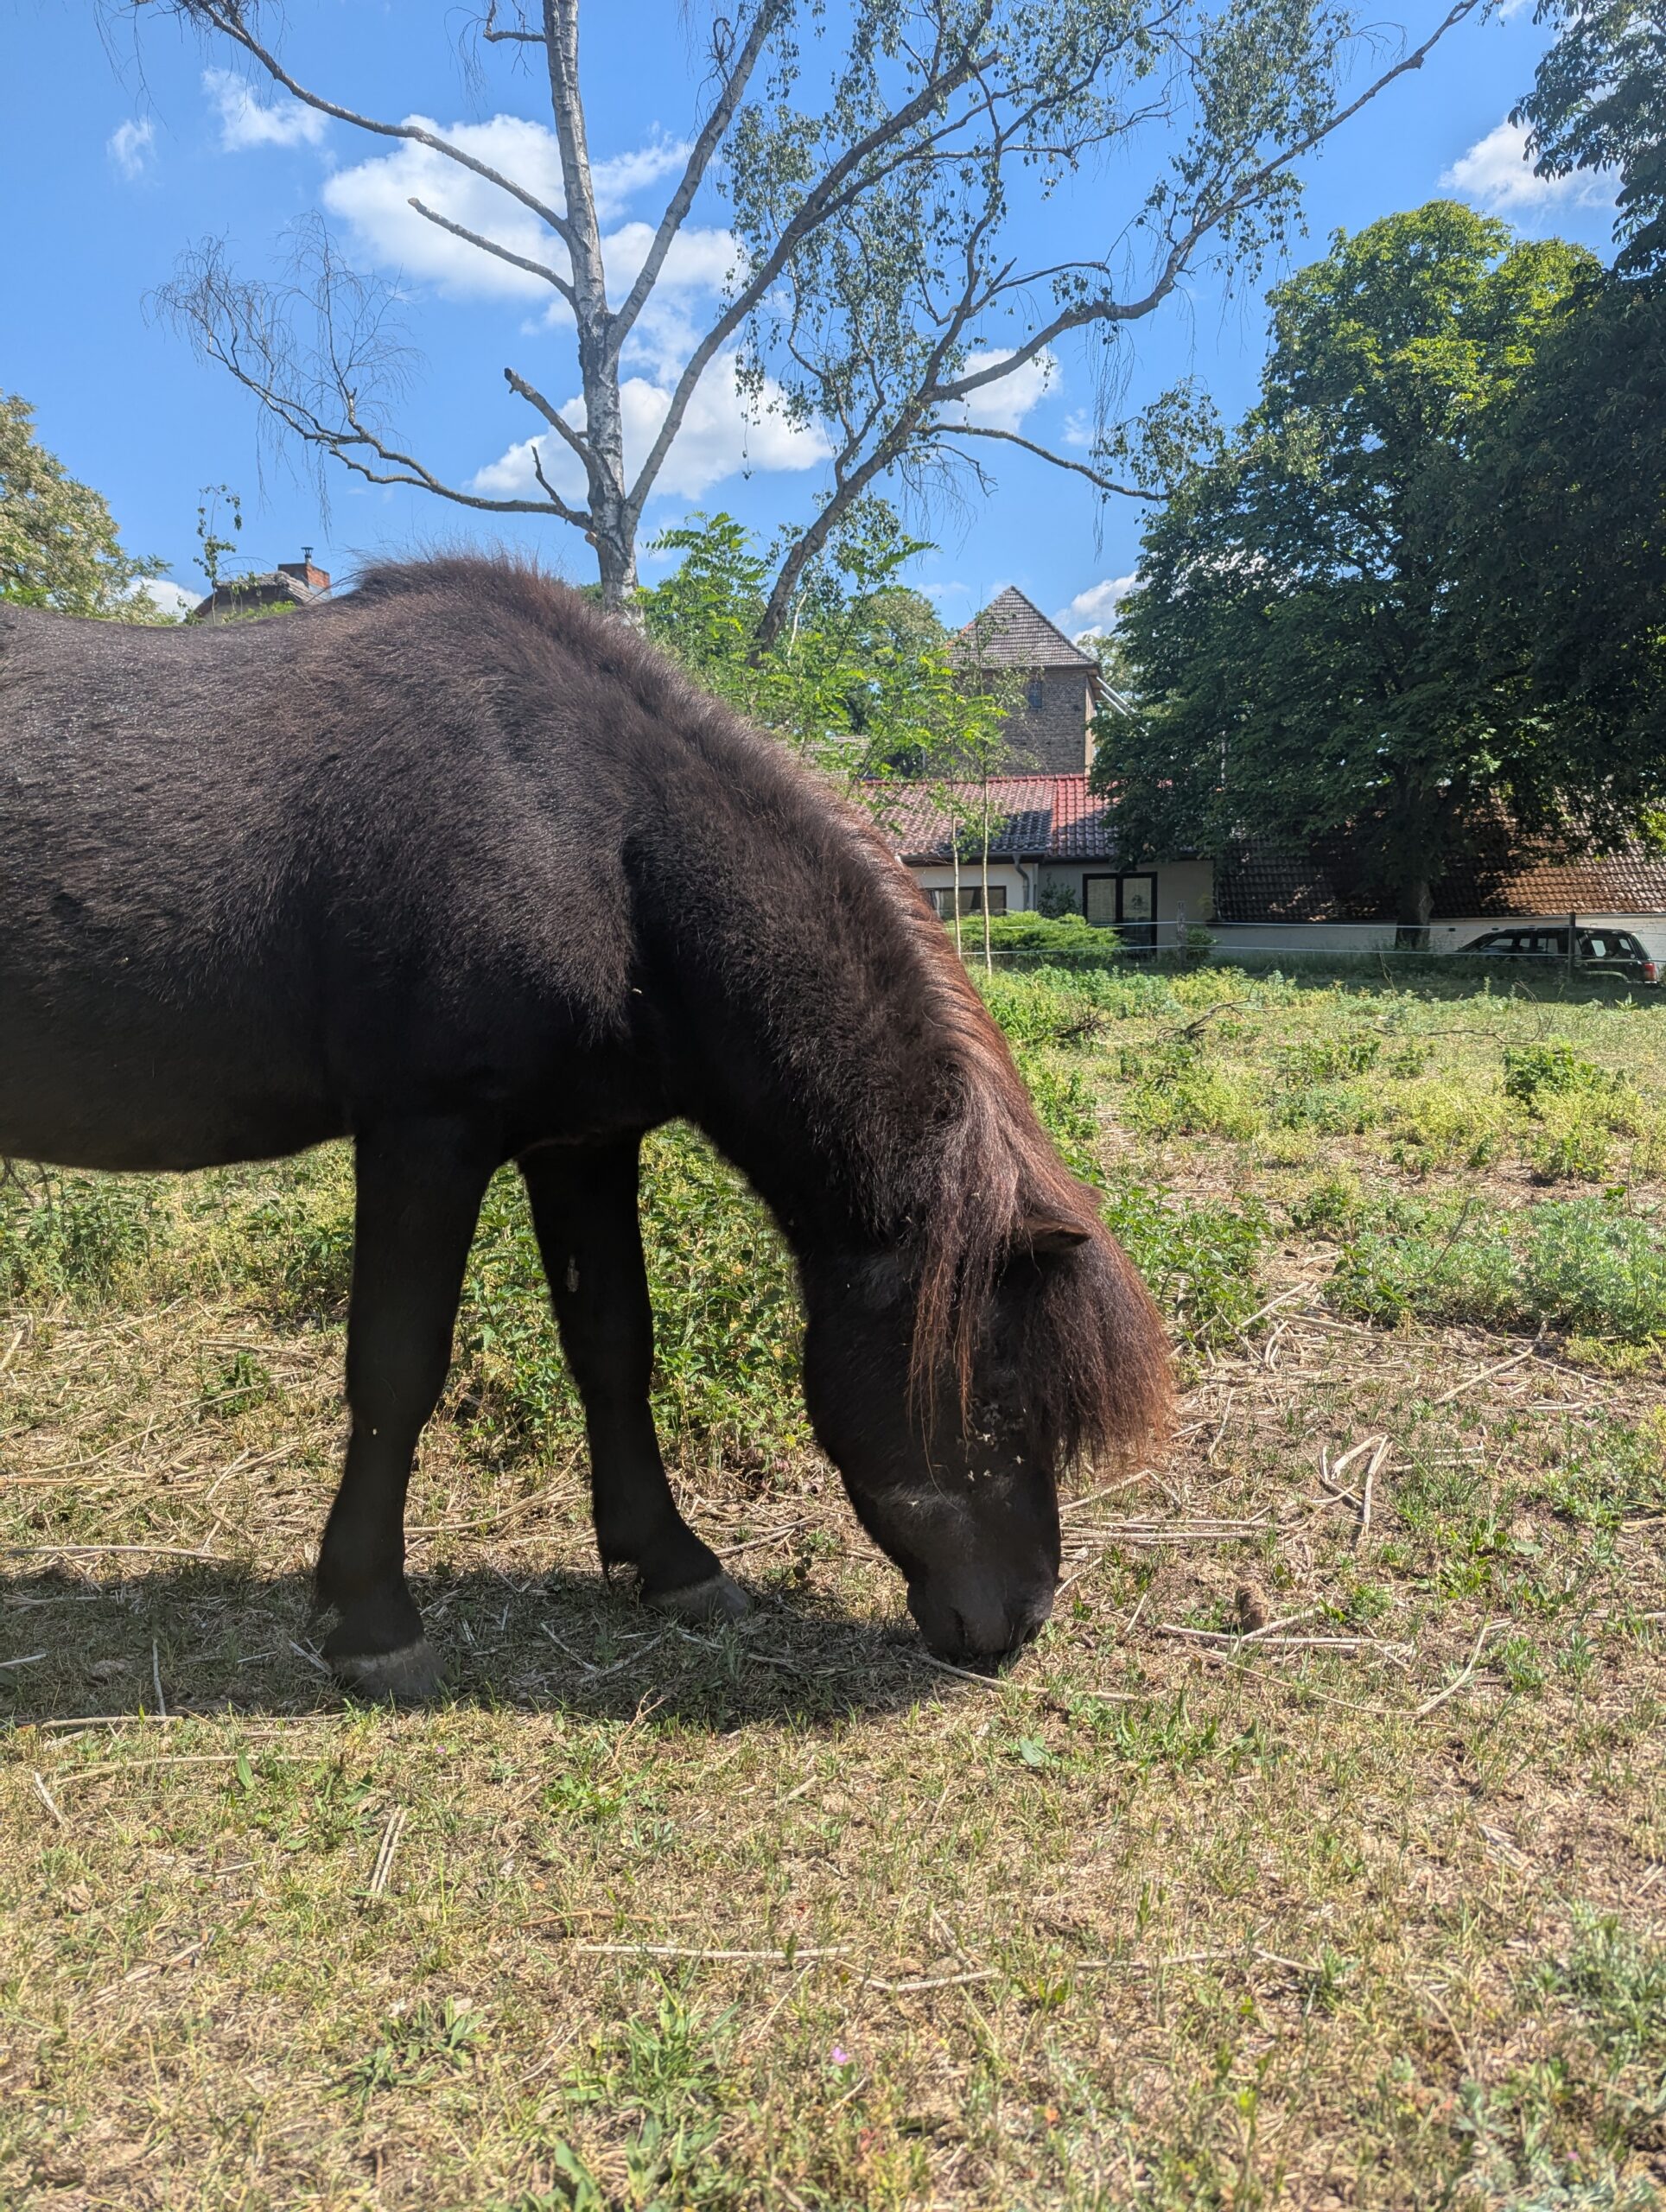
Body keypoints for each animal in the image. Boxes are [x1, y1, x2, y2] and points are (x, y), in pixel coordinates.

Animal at [0, 557, 1171, 1698]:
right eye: (998, 1392)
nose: (1019, 1619)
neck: (585, 834)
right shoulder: (425, 1135)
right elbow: (395, 1365)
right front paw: (373, 1619)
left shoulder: (583, 1143)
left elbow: (614, 1344)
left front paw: (671, 1563)